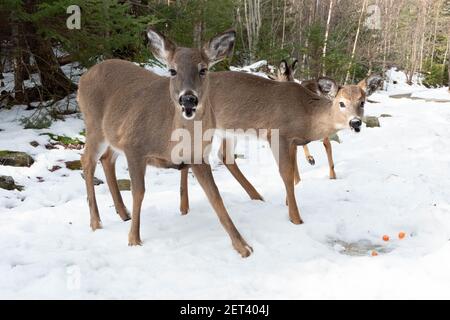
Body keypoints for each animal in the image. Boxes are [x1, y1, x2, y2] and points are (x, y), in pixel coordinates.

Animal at [77, 27, 253, 258]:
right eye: (172, 70)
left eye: (203, 69)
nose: (188, 99)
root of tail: (84, 76)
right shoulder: (134, 145)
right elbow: (139, 192)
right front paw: (134, 239)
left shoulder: (198, 156)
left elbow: (215, 196)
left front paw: (242, 246)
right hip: (94, 126)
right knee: (87, 161)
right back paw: (96, 222)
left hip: (113, 134)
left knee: (106, 159)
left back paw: (123, 213)